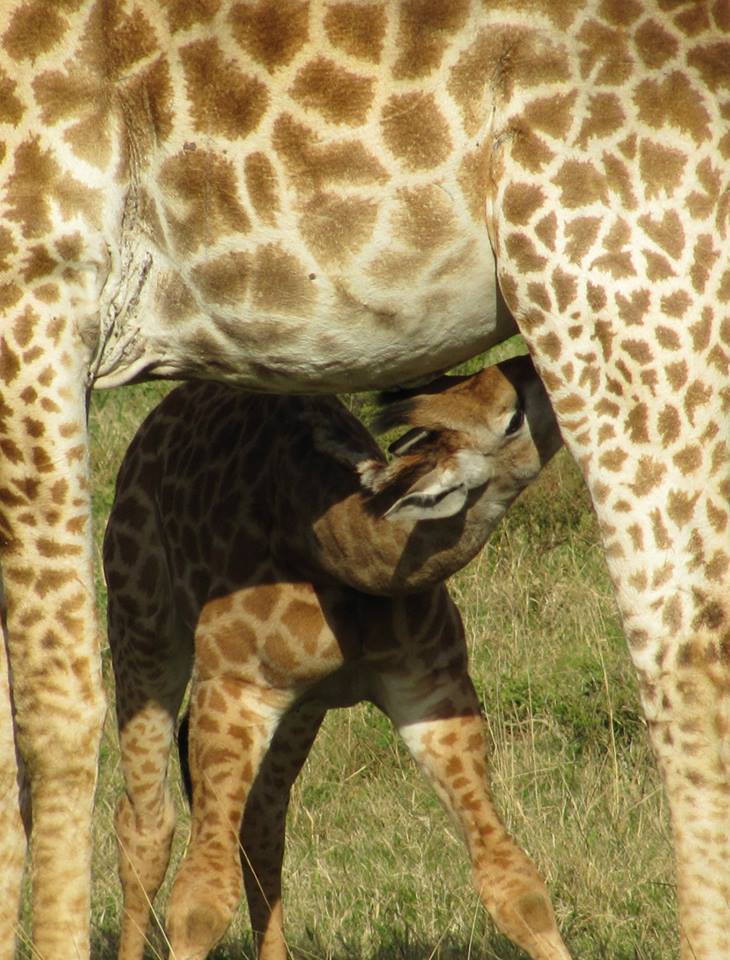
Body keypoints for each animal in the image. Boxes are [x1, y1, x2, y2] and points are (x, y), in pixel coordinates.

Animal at [105, 354, 564, 960]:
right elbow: (200, 902)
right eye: (512, 418)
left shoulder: (431, 689)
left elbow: (515, 883)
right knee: (146, 824)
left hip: (304, 708)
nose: (539, 362)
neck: (342, 559)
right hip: (140, 622)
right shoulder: (234, 691)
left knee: (262, 822)